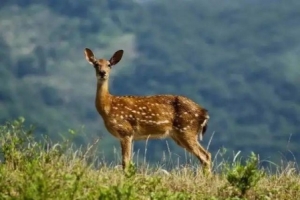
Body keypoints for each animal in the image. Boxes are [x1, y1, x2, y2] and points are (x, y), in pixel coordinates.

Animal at [83, 47, 212, 173]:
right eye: (96, 64)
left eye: (109, 65)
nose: (102, 73)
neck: (108, 107)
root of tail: (204, 113)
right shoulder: (131, 136)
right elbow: (129, 161)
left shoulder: (125, 131)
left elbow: (125, 162)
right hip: (179, 135)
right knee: (206, 155)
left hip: (186, 130)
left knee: (205, 156)